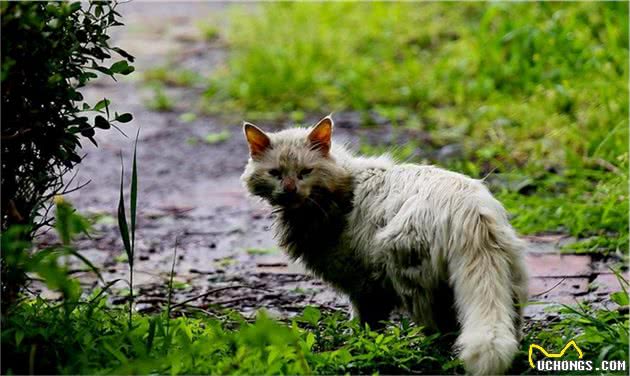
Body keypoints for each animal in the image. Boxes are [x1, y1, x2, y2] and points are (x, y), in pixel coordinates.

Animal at [241, 116, 528, 374]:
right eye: (275, 174)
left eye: (305, 172)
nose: (289, 189)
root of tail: (469, 212)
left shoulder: (363, 284)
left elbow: (366, 322)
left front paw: (359, 345)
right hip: (505, 281)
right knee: (510, 324)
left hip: (410, 277)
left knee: (440, 331)